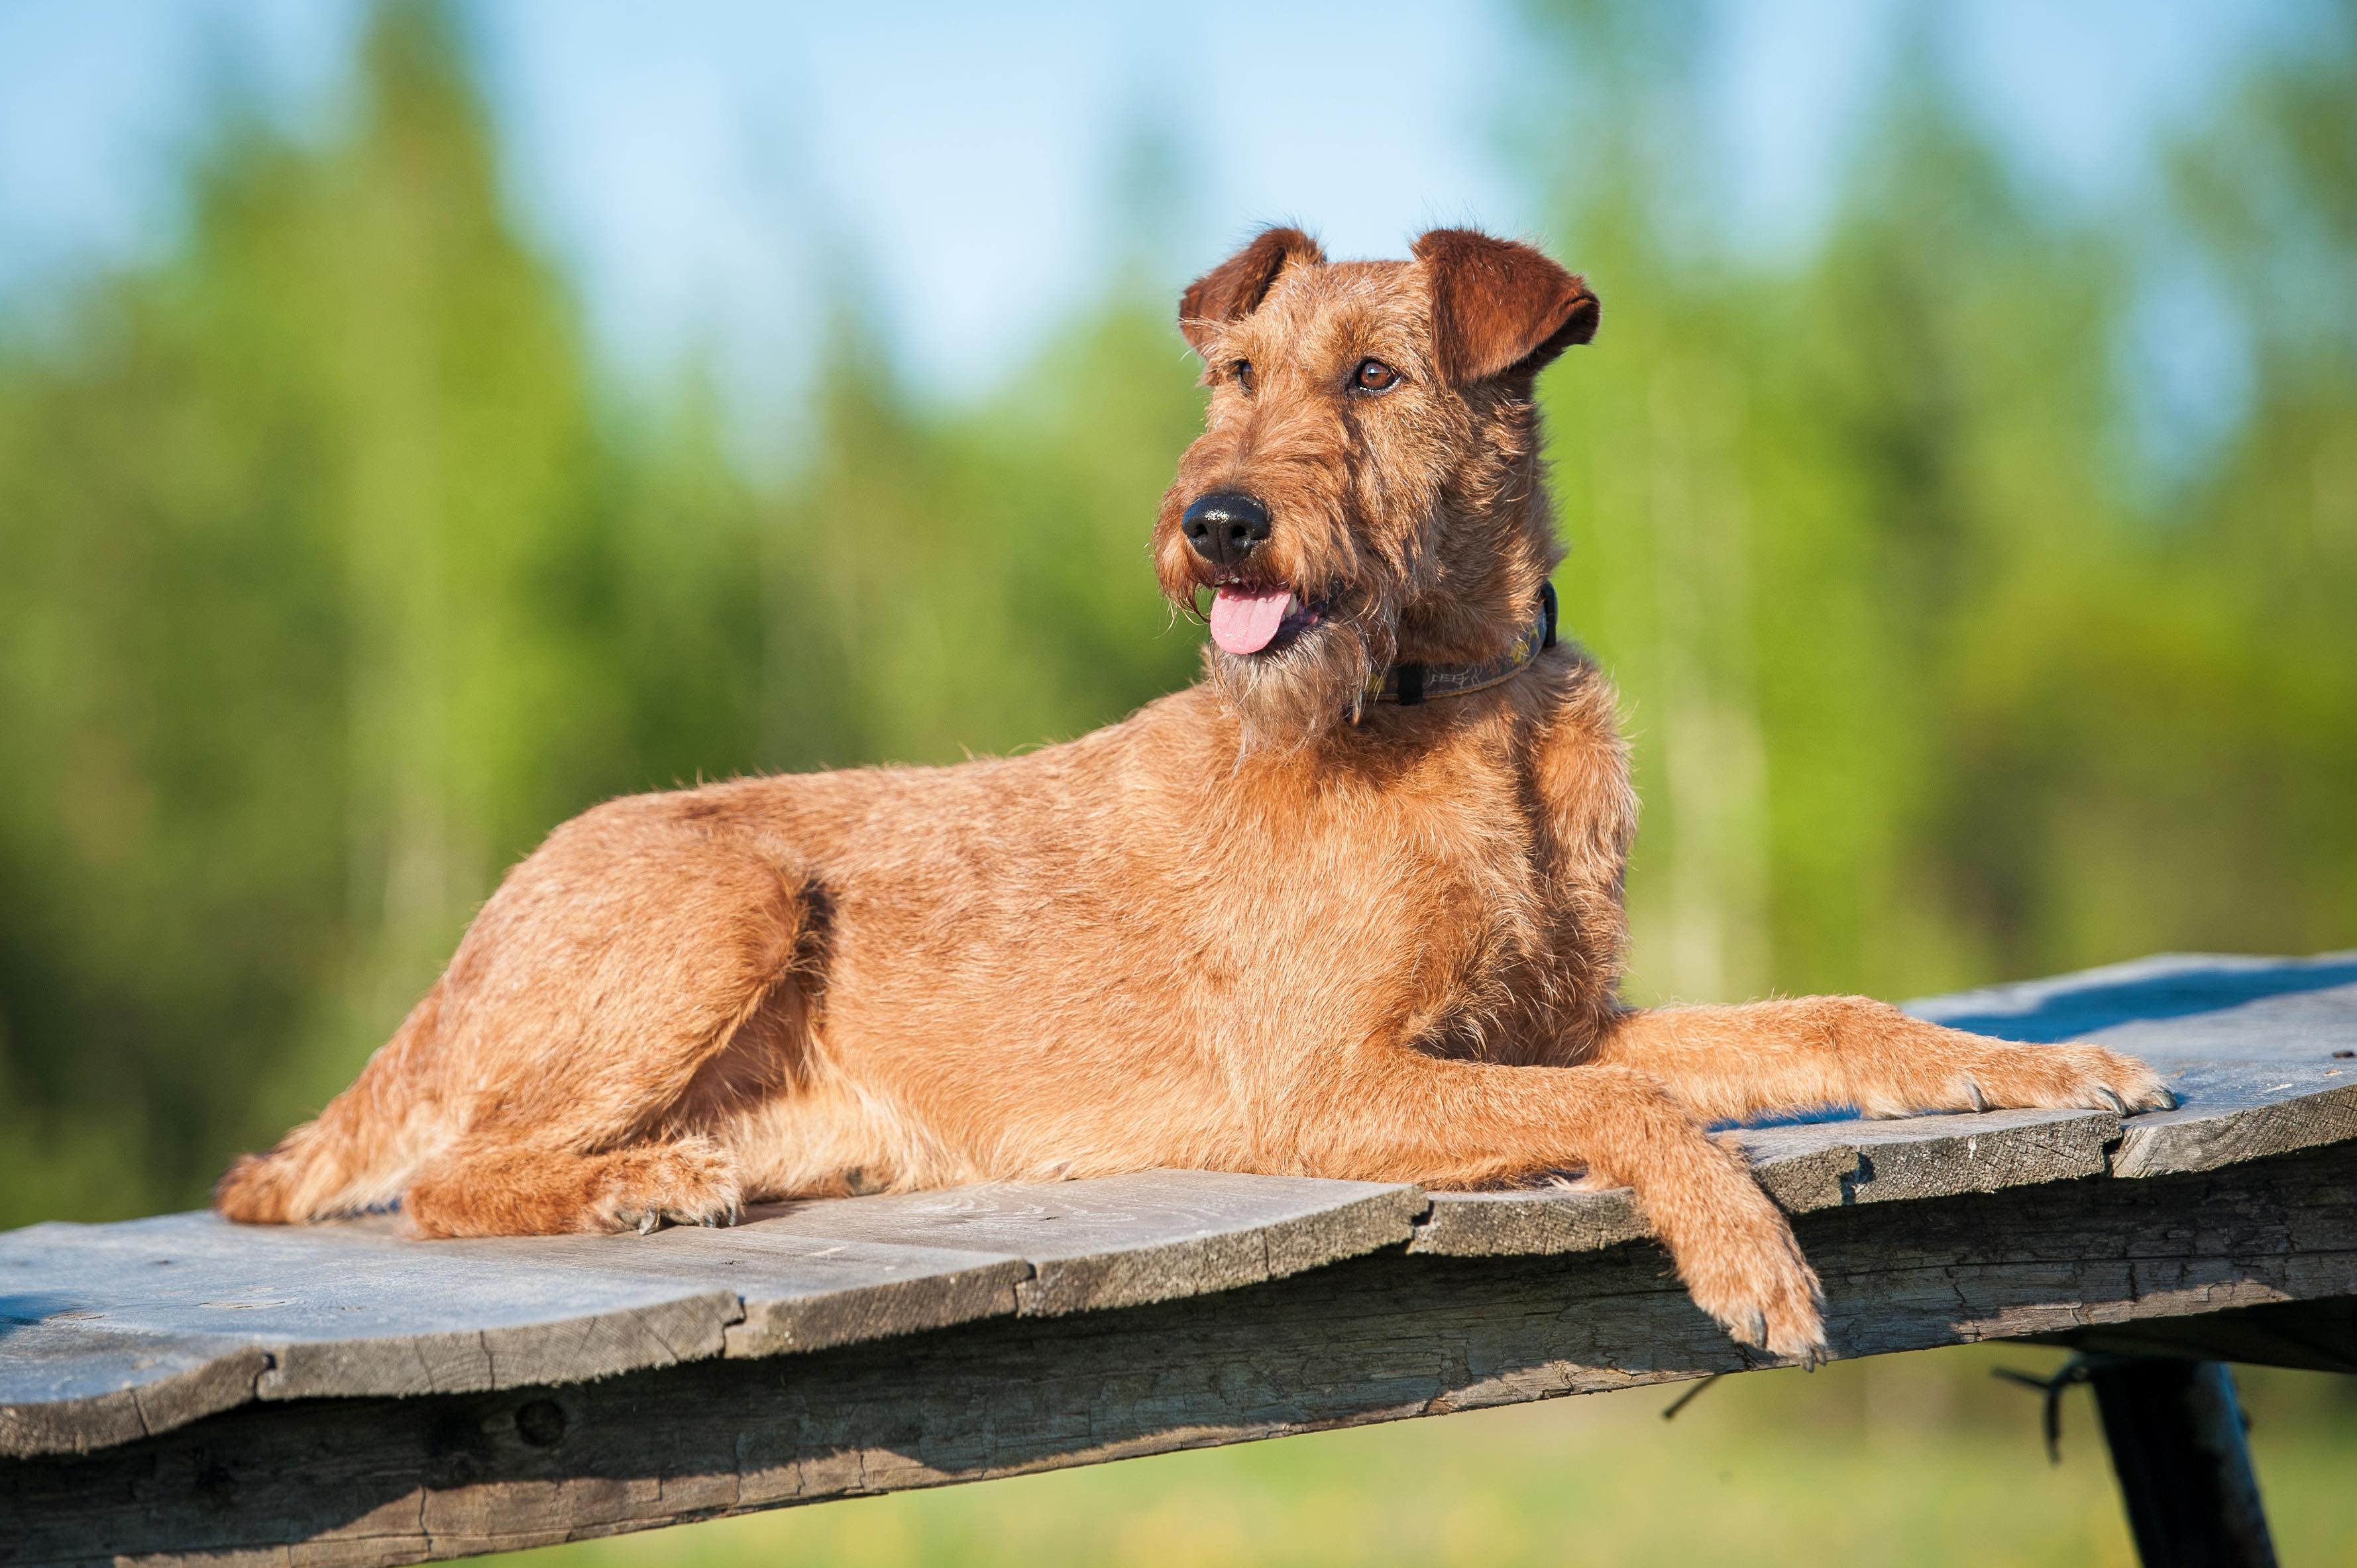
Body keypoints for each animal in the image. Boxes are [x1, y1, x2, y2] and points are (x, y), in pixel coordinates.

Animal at [221, 223, 2168, 1358]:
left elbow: (1820, 1014)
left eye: (1373, 376)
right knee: (451, 1172)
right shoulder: (1335, 1080)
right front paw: (1747, 1256)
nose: (1213, 519)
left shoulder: (1544, 1029)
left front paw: (2044, 1065)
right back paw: (633, 1190)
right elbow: (1639, 1113)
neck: (1452, 703)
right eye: (1232, 374)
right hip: (730, 890)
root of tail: (470, 935)